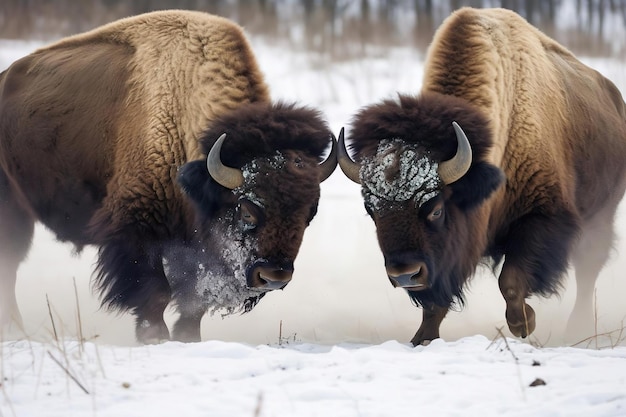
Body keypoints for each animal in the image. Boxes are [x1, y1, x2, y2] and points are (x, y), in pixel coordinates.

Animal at [1, 9, 336, 342]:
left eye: (310, 213)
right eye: (246, 209)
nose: (274, 276)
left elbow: (193, 303)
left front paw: (188, 338)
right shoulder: (138, 228)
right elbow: (156, 292)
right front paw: (154, 337)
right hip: (13, 212)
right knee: (10, 266)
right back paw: (15, 330)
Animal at [336, 7, 624, 344]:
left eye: (436, 209)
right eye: (371, 210)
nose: (405, 274)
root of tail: (614, 99)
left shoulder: (543, 217)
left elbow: (510, 281)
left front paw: (523, 324)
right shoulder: (443, 262)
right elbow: (436, 302)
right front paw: (422, 339)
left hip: (600, 218)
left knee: (587, 272)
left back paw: (577, 327)